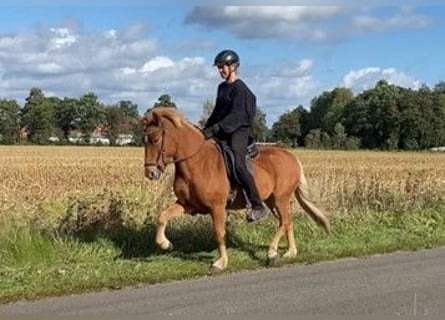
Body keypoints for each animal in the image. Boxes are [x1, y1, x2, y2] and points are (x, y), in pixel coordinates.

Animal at [142, 107, 330, 272]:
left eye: (156, 140)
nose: (150, 173)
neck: (196, 162)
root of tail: (291, 156)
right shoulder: (187, 205)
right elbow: (162, 217)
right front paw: (165, 244)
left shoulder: (217, 208)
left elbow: (219, 233)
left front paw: (221, 262)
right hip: (273, 201)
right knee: (287, 222)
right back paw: (290, 252)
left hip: (281, 198)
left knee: (284, 222)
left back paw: (272, 253)